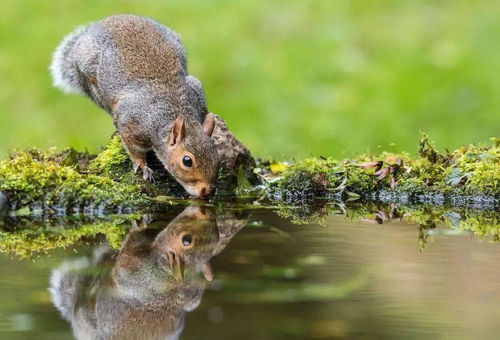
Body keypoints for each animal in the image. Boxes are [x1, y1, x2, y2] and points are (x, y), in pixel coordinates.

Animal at [50, 14, 219, 198]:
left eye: (216, 155)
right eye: (187, 161)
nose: (207, 191)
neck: (172, 112)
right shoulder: (131, 121)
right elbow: (134, 148)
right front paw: (143, 167)